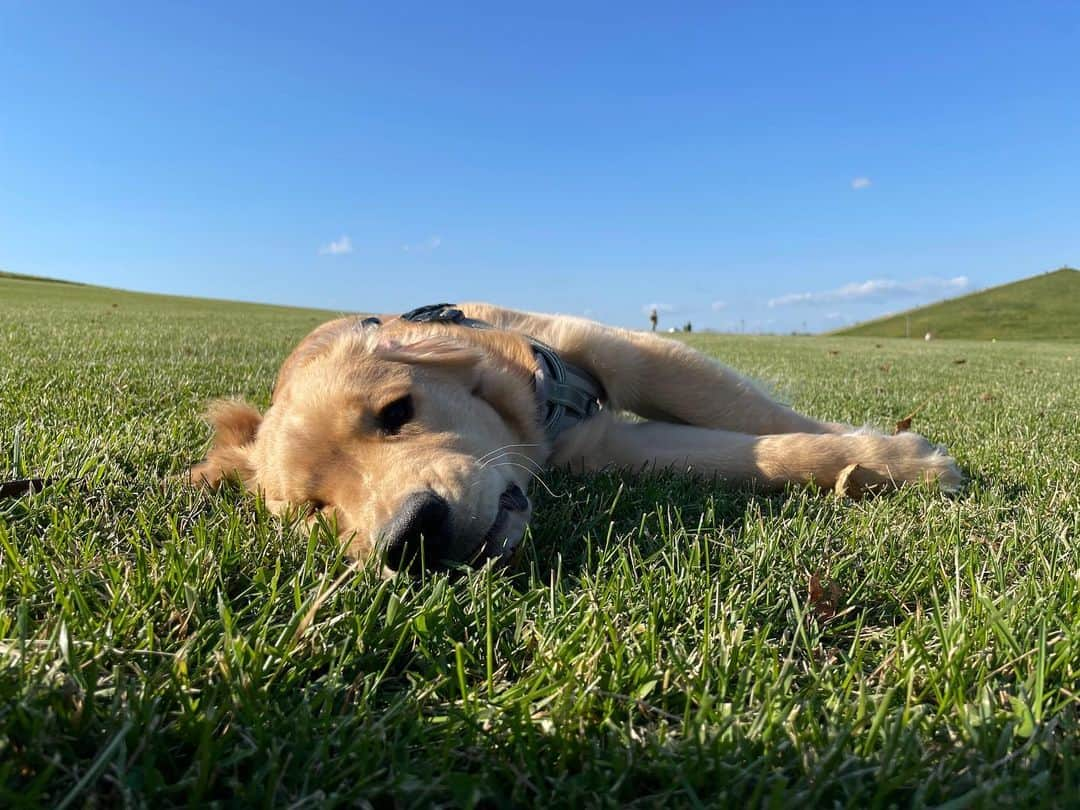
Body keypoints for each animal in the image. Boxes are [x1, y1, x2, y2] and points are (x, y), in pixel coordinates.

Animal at [192, 304, 963, 578]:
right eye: (314, 511)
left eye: (395, 411)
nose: (412, 533)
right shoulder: (604, 449)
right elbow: (747, 453)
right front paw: (881, 460)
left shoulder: (620, 353)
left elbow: (763, 419)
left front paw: (892, 453)